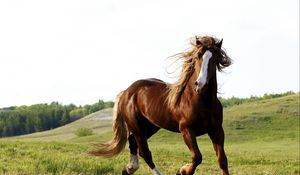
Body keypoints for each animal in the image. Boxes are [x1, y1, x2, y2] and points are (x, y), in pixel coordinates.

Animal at [90, 35, 233, 175]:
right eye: (197, 57)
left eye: (214, 60)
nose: (200, 85)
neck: (203, 102)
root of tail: (126, 92)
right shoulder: (186, 129)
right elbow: (197, 157)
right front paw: (182, 171)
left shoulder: (216, 130)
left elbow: (222, 160)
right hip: (137, 127)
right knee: (145, 153)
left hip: (150, 127)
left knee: (133, 142)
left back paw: (129, 168)